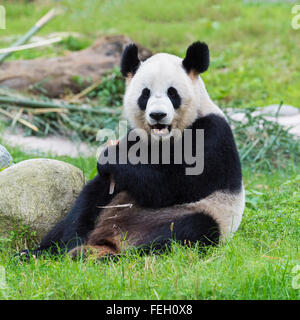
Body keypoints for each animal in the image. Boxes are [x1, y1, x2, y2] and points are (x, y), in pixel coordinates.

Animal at [22, 41, 244, 258]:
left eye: (172, 93)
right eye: (145, 94)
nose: (157, 115)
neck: (164, 139)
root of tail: (112, 237)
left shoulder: (212, 135)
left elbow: (175, 183)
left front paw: (110, 158)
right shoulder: (135, 138)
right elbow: (94, 192)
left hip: (199, 213)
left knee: (189, 229)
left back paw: (117, 256)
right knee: (81, 210)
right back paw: (43, 252)